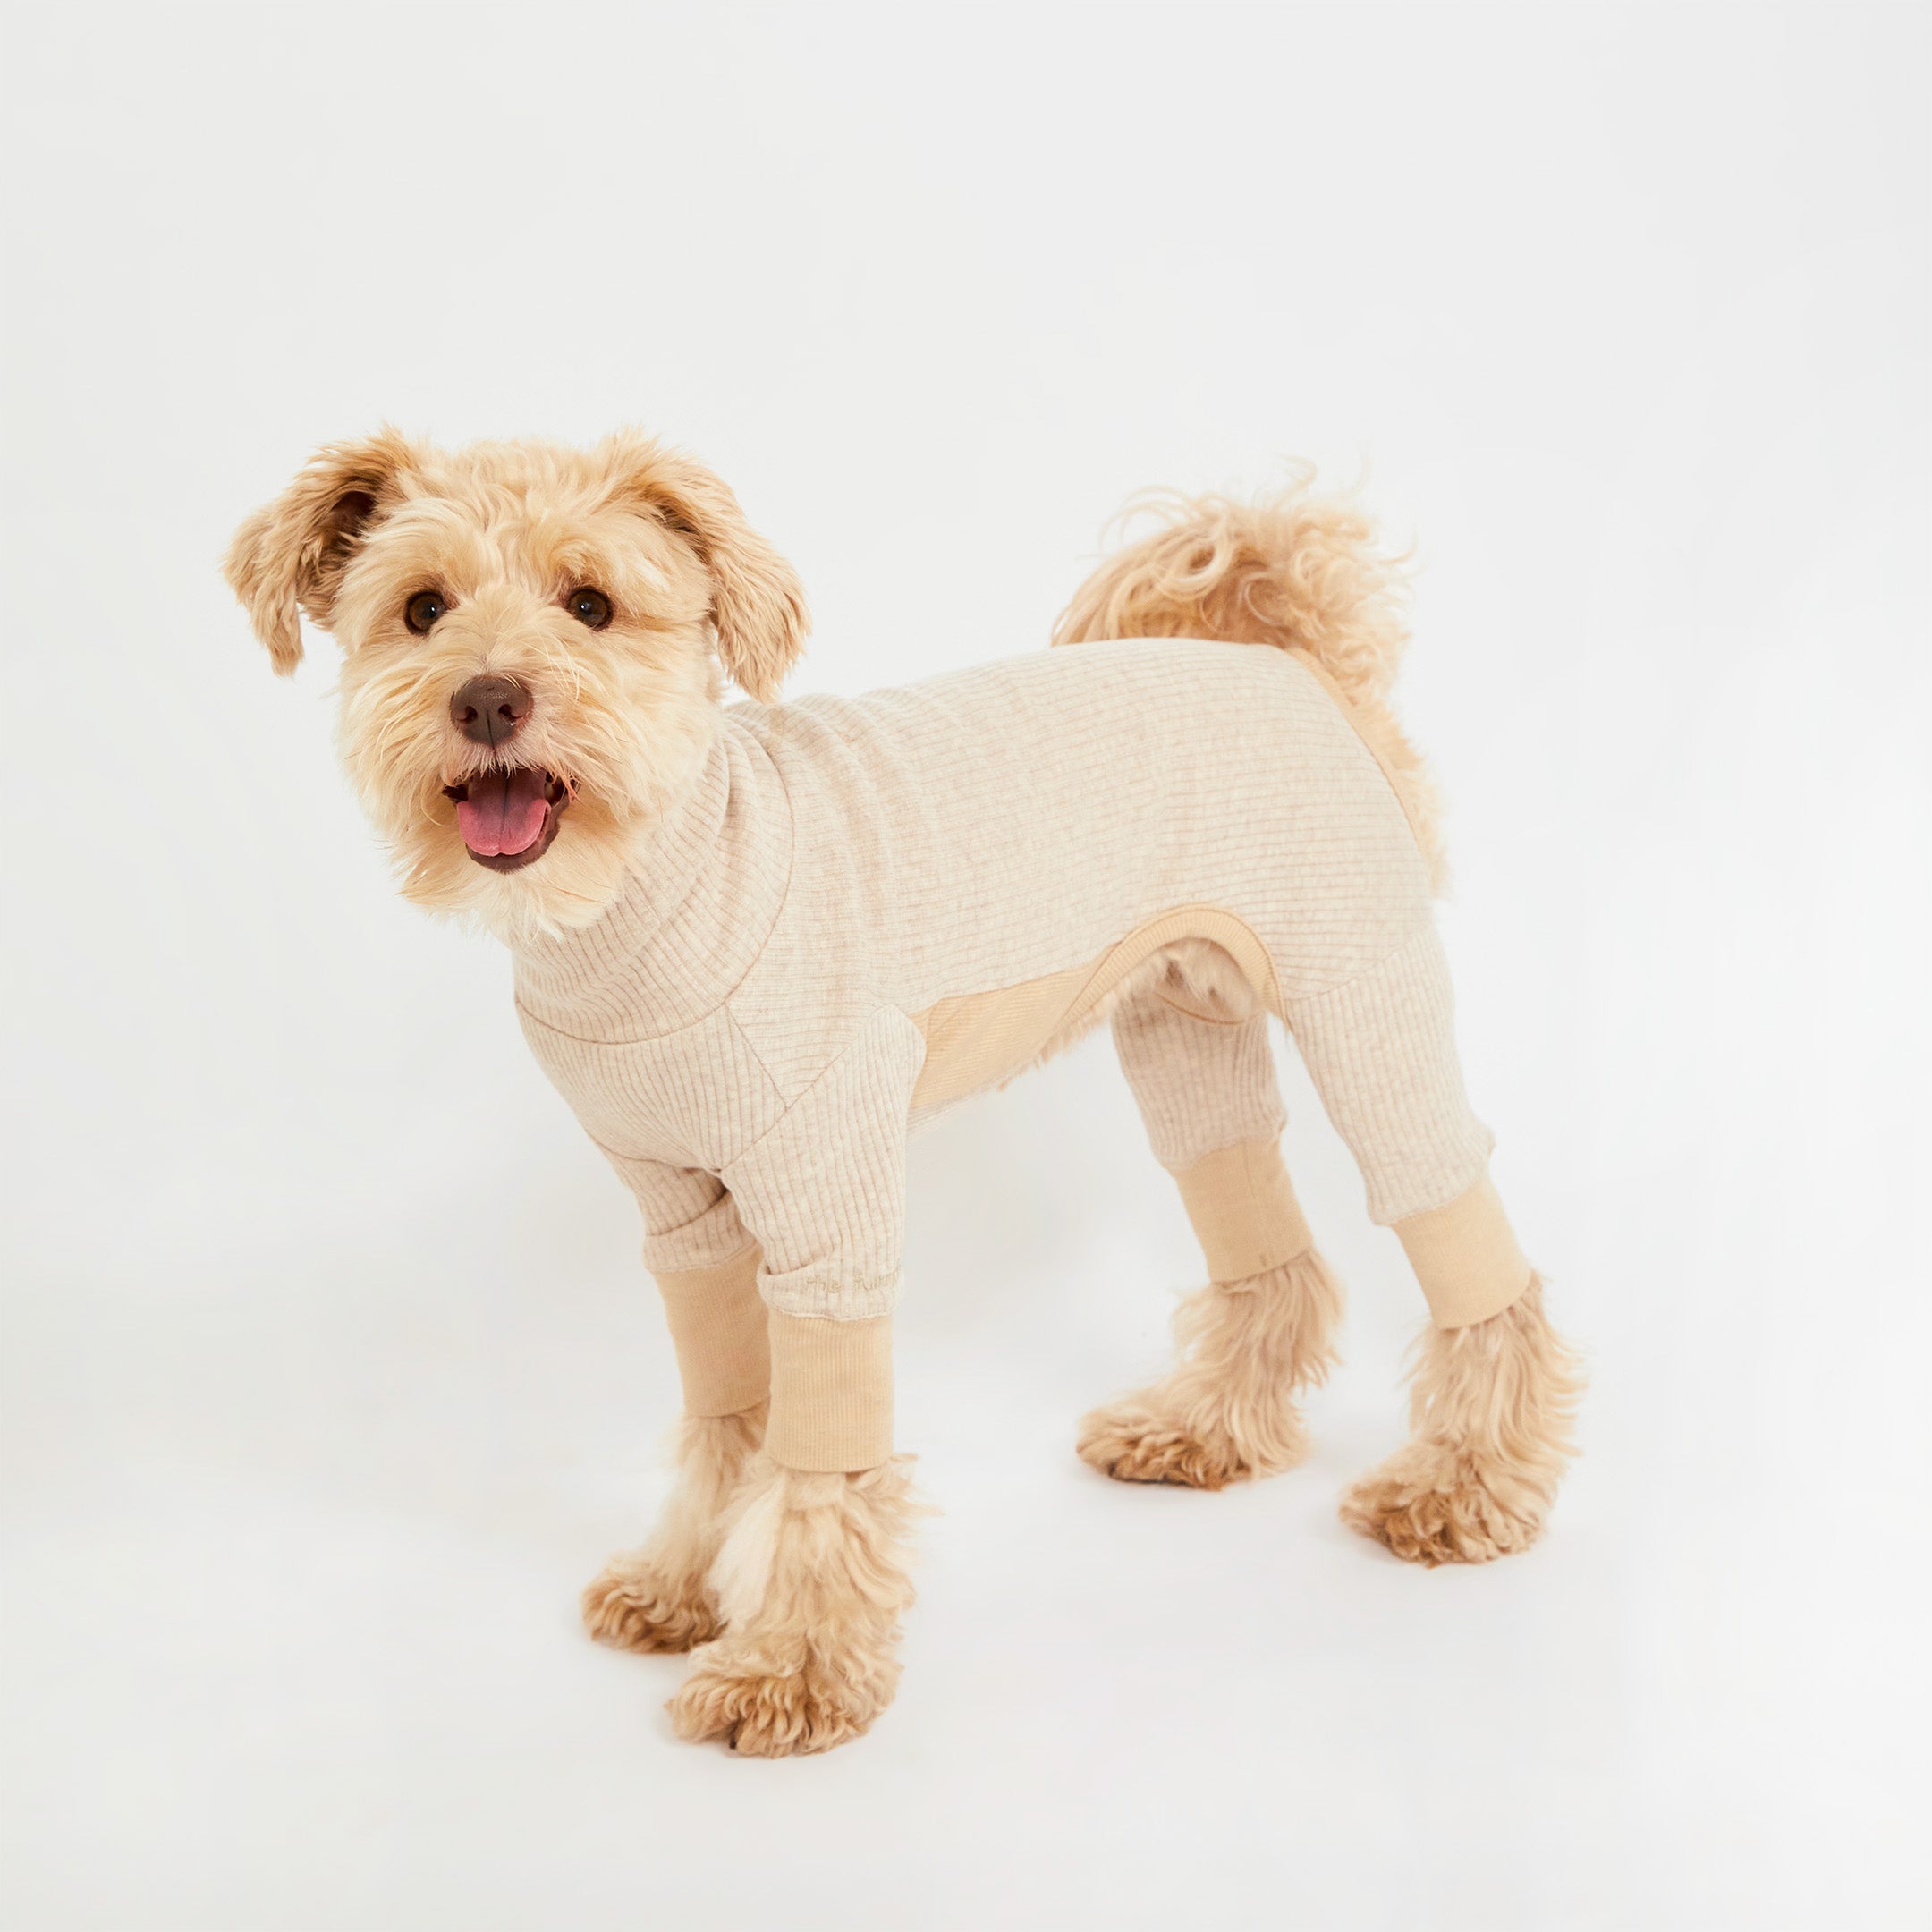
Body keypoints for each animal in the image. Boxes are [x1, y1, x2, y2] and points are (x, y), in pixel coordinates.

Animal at [225, 435, 1584, 1754]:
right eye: (422, 608)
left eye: (591, 602)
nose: (487, 698)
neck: (661, 893)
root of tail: (1278, 659)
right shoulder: (685, 1219)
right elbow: (731, 1415)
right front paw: (686, 1584)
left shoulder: (829, 1209)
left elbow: (823, 1455)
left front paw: (794, 1666)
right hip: (1182, 1028)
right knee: (1261, 1238)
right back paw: (1204, 1432)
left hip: (1362, 993)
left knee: (1463, 1238)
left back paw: (1464, 1488)